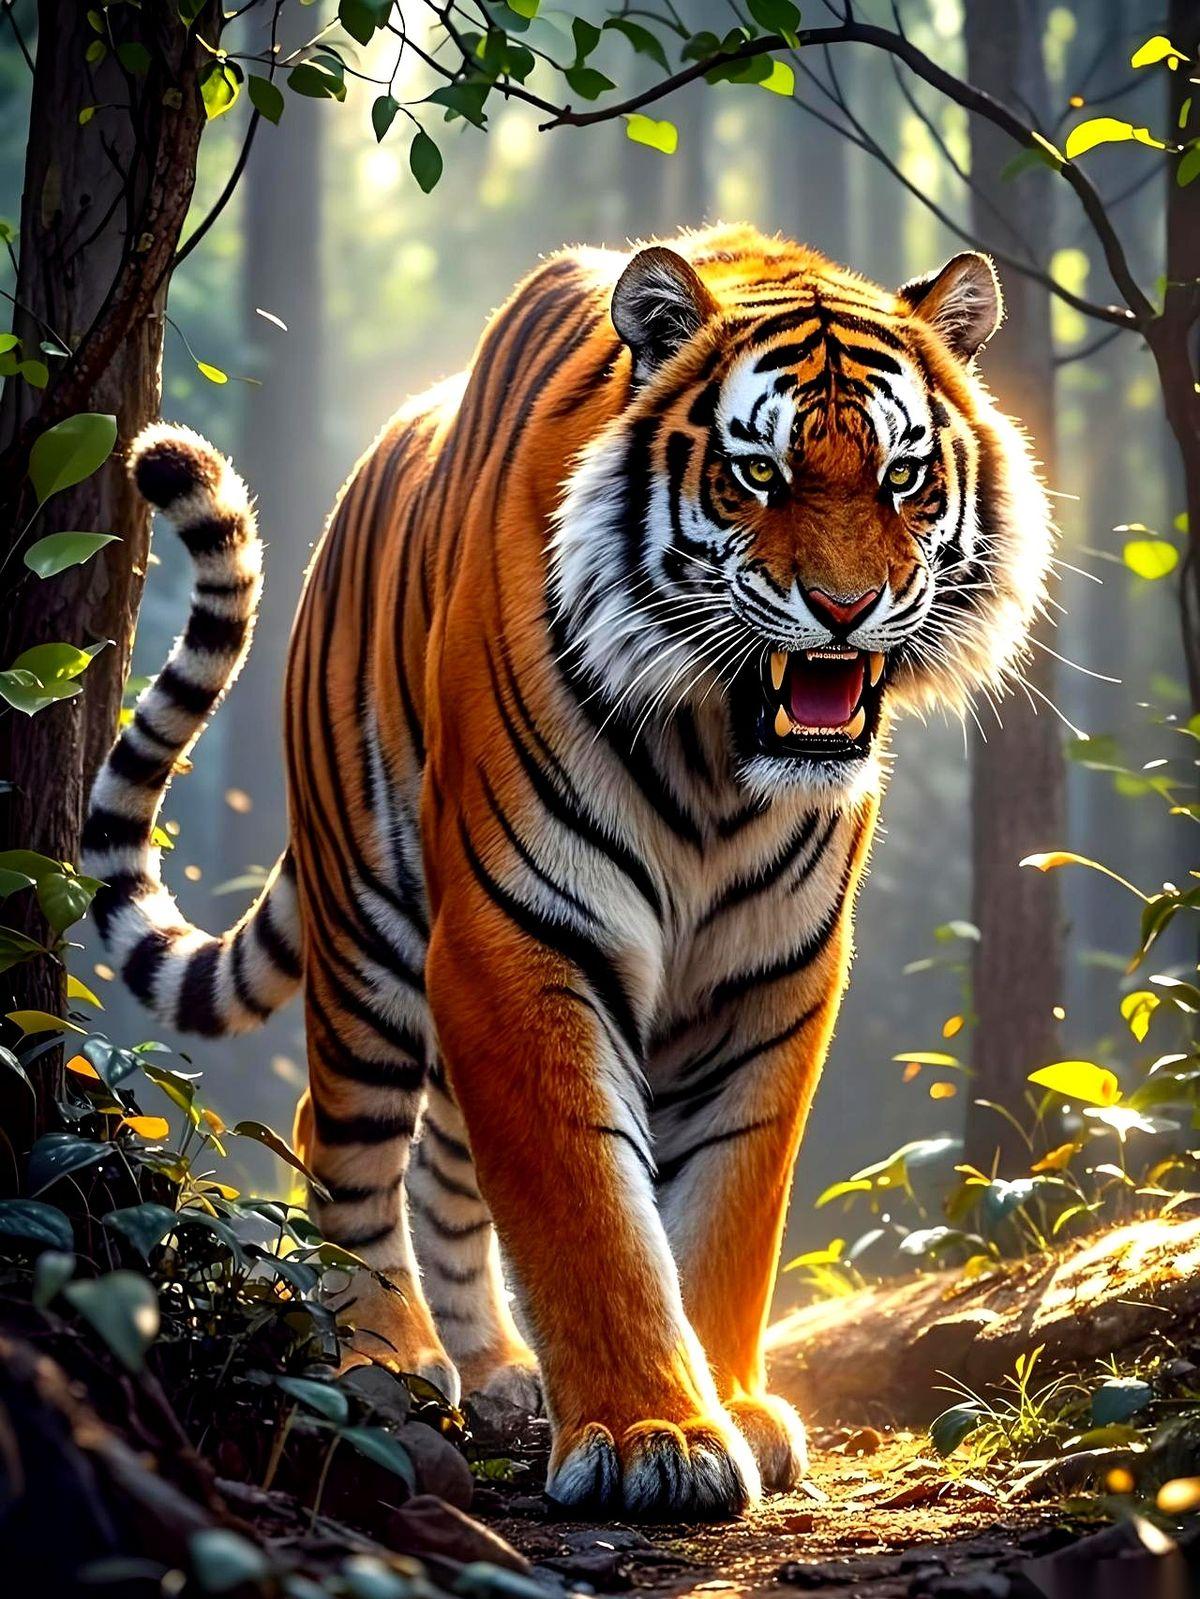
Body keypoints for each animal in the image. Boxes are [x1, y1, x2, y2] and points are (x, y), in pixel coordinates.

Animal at [82, 223, 1051, 1519]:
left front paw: (730, 1404)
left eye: (903, 477)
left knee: (443, 1165)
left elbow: (727, 1204)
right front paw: (654, 1434)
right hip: (371, 925)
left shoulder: (776, 970)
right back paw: (384, 1360)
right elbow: (588, 1205)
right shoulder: (519, 933)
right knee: (342, 1134)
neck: (718, 754)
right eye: (757, 474)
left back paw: (494, 1367)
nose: (845, 611)